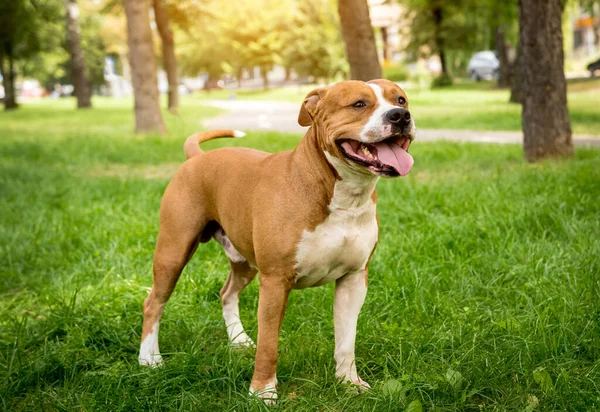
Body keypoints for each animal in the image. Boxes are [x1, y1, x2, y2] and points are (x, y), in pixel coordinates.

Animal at [138, 78, 414, 402]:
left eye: (401, 99)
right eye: (358, 104)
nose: (400, 116)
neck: (343, 195)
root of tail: (198, 157)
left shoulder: (354, 279)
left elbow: (347, 339)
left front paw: (348, 382)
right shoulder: (275, 281)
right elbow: (269, 343)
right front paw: (262, 392)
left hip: (243, 260)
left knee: (227, 292)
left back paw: (239, 340)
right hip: (174, 251)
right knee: (154, 302)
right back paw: (149, 359)